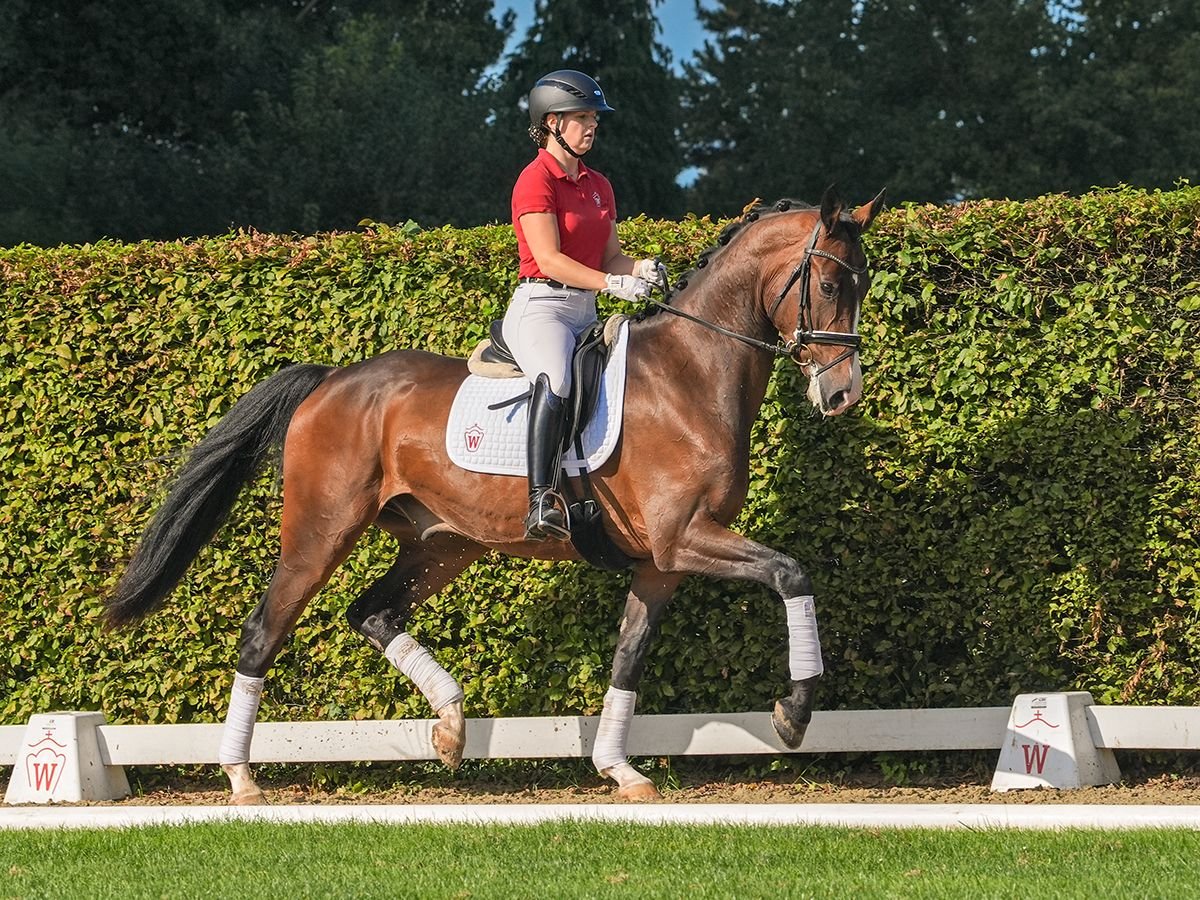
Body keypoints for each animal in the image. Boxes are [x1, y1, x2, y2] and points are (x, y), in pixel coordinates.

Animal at [108, 187, 888, 806]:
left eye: (864, 284)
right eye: (826, 282)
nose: (842, 395)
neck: (691, 374)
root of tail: (331, 381)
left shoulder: (661, 563)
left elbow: (628, 657)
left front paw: (620, 769)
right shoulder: (684, 538)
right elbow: (791, 573)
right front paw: (793, 714)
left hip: (442, 543)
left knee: (373, 612)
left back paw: (451, 729)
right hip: (321, 531)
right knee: (263, 633)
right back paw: (241, 778)